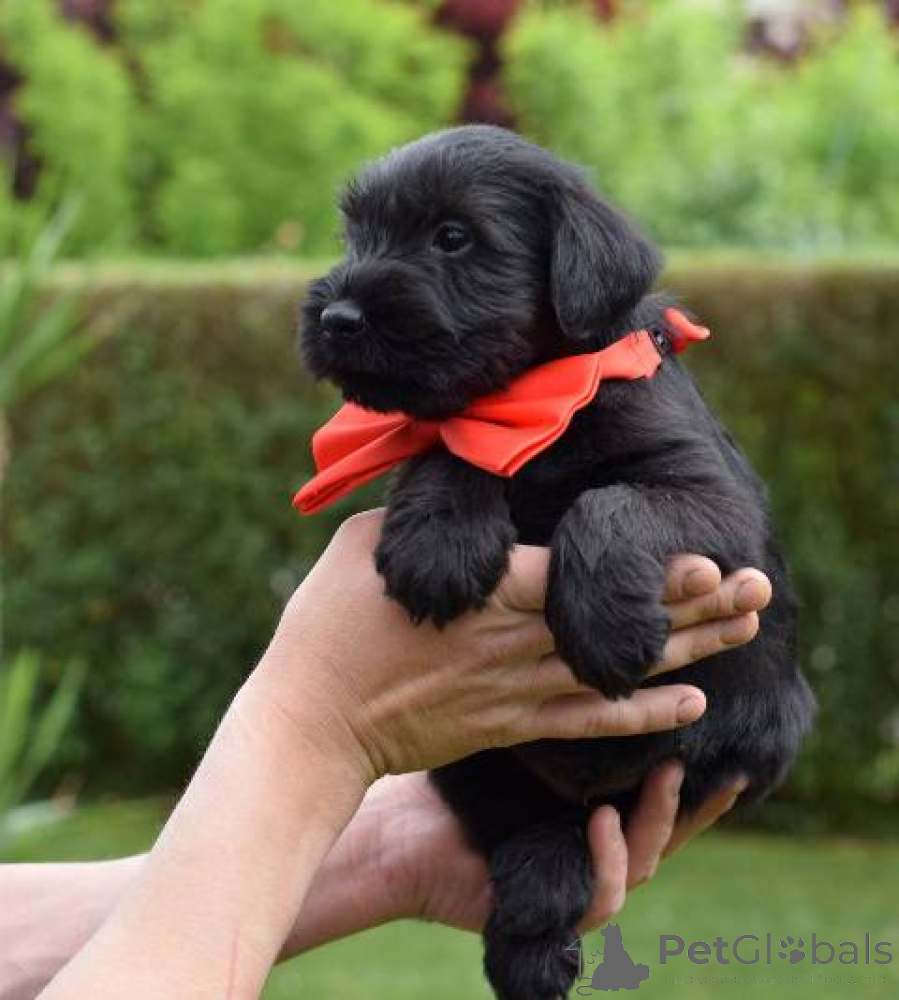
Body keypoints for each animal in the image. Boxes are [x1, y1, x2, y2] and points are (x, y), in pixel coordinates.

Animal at [299, 125, 815, 1000]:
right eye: (356, 235)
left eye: (452, 237)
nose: (336, 316)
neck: (537, 398)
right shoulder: (469, 431)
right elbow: (448, 443)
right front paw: (438, 542)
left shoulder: (718, 506)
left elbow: (607, 502)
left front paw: (603, 626)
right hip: (472, 760)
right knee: (531, 828)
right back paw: (536, 920)